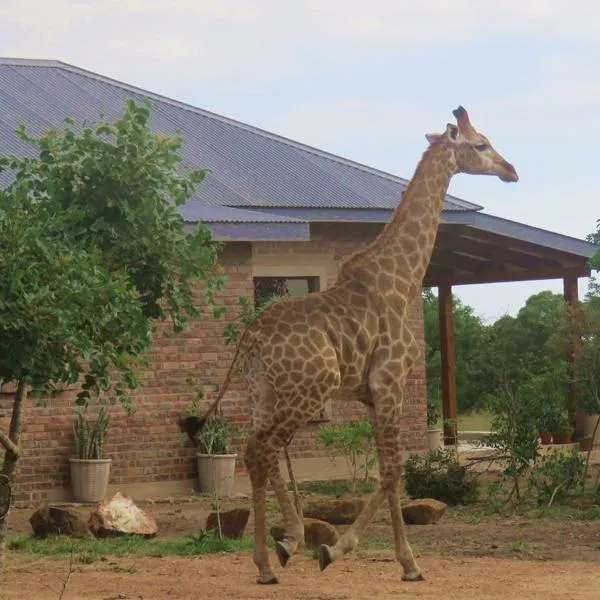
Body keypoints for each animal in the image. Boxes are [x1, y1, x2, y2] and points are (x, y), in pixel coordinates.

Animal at [182, 105, 516, 584]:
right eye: (481, 144)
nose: (512, 171)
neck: (403, 276)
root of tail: (250, 337)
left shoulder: (371, 395)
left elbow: (388, 469)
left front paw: (405, 564)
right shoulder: (391, 383)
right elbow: (393, 470)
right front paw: (346, 551)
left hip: (264, 393)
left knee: (255, 450)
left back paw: (274, 555)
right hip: (309, 390)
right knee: (263, 450)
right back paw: (278, 553)